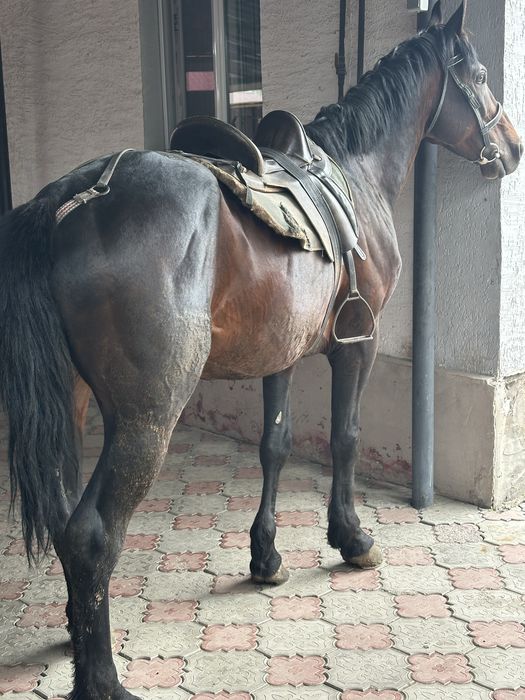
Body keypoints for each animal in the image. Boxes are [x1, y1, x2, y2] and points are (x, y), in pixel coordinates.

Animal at [0, 2, 521, 698]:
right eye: (482, 74)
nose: (512, 149)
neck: (355, 172)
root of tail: (70, 200)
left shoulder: (282, 355)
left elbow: (275, 446)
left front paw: (266, 555)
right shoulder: (357, 346)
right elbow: (345, 439)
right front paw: (351, 538)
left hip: (71, 406)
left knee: (62, 521)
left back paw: (76, 637)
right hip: (146, 419)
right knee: (91, 534)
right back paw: (102, 678)